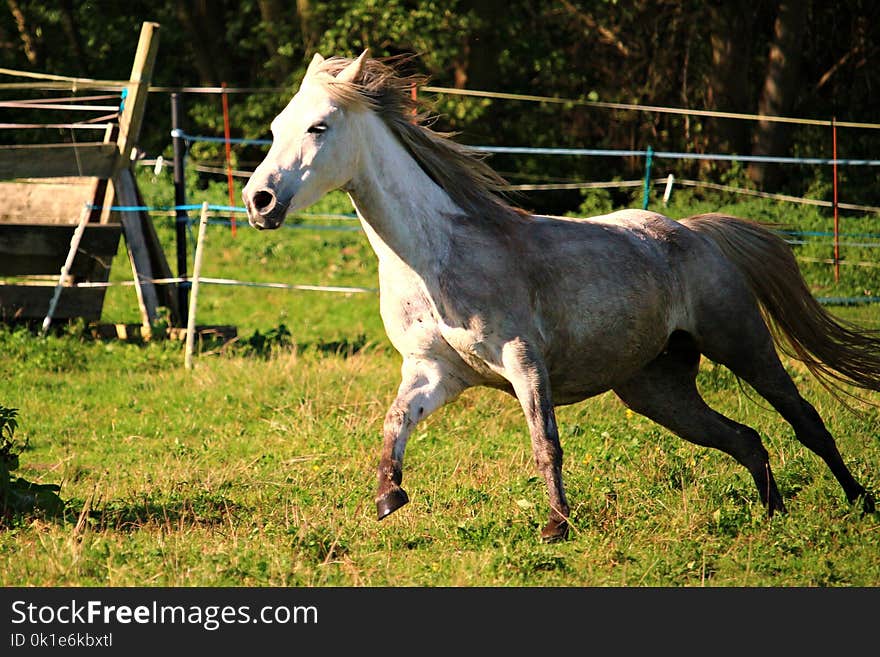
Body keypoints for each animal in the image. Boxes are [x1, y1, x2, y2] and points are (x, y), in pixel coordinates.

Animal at [242, 51, 880, 540]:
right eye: (275, 128)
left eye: (319, 127)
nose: (259, 201)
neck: (433, 257)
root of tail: (695, 233)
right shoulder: (433, 371)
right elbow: (394, 423)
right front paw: (388, 497)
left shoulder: (523, 357)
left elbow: (545, 441)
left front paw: (556, 525)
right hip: (657, 389)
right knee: (745, 439)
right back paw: (774, 516)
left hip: (741, 343)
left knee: (804, 419)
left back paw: (858, 503)